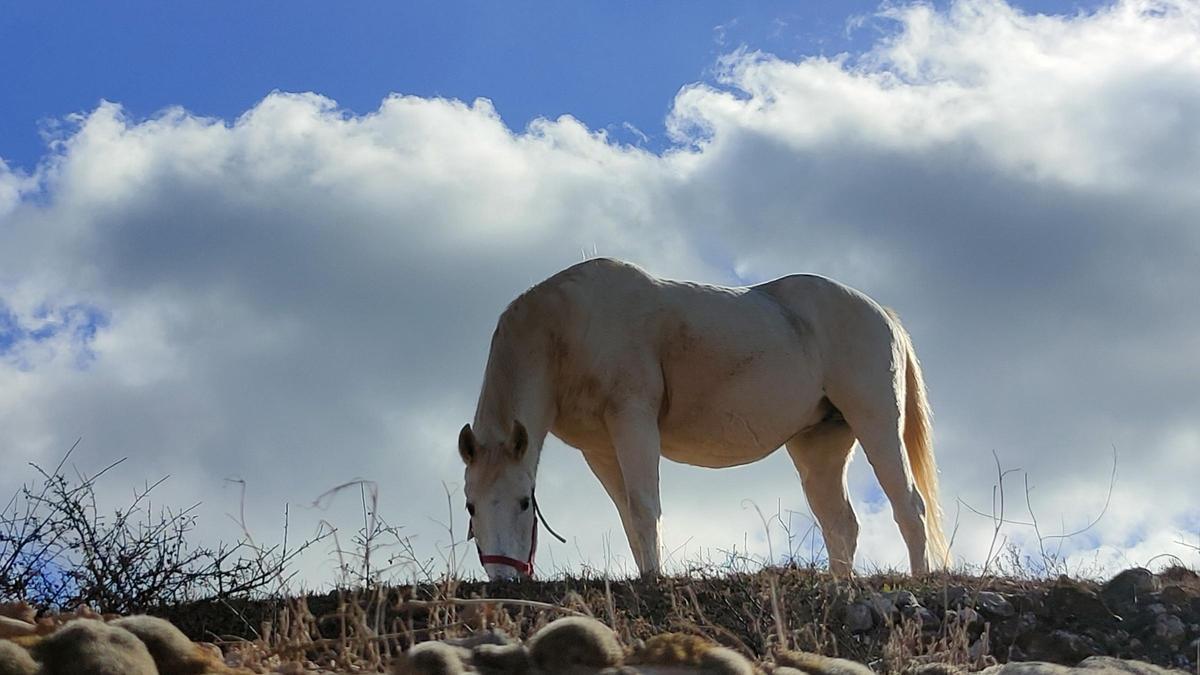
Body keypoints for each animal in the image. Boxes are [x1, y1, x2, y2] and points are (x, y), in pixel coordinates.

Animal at [458, 257, 945, 578]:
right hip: (819, 446)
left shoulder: (633, 419)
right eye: (471, 505)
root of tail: (884, 315)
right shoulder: (600, 450)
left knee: (909, 507)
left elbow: (644, 507)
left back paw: (921, 580)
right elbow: (628, 515)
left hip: (876, 422)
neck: (568, 329)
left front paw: (654, 582)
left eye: (525, 502)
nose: (503, 582)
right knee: (839, 523)